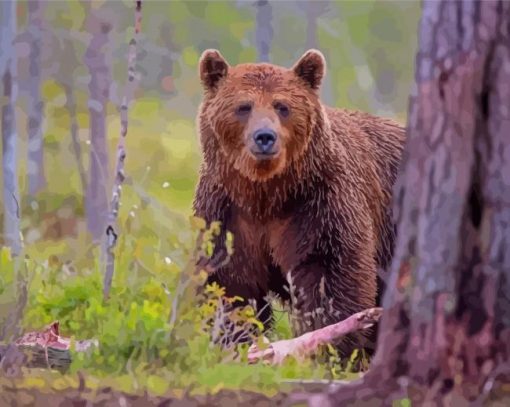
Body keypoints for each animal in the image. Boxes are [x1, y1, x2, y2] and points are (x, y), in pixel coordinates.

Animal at [193, 48, 404, 360]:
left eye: (282, 106)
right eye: (244, 106)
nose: (264, 137)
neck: (266, 195)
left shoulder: (319, 204)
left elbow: (328, 275)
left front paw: (329, 348)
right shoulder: (226, 212)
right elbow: (229, 282)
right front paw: (234, 341)